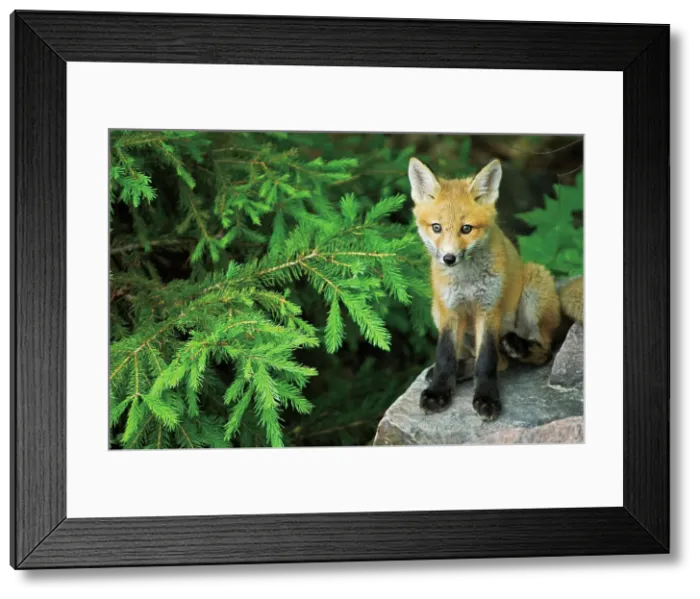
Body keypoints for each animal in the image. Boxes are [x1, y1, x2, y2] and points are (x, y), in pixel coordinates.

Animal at [408, 156, 583, 420]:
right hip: (435, 310)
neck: (467, 282)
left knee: (538, 352)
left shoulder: (489, 309)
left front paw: (486, 398)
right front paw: (439, 391)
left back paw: (518, 347)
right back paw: (458, 370)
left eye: (466, 229)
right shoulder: (450, 310)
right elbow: (445, 356)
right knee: (495, 360)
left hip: (534, 285)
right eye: (436, 227)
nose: (448, 258)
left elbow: (487, 360)